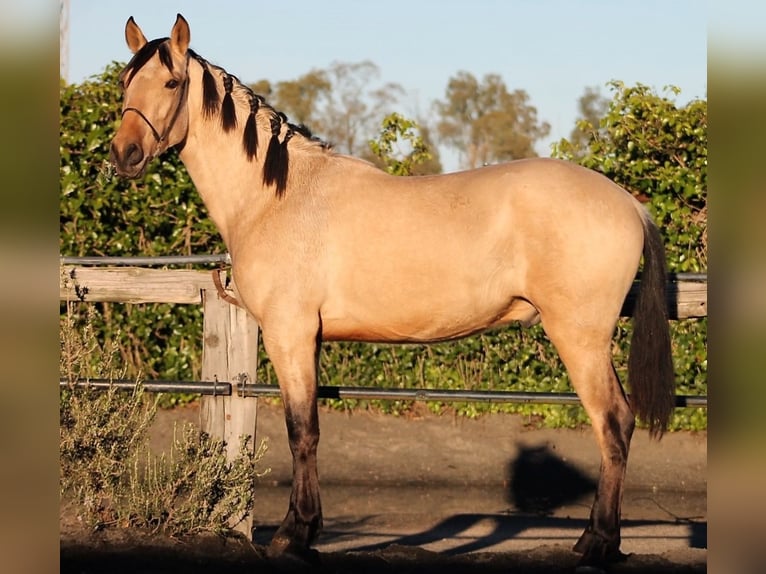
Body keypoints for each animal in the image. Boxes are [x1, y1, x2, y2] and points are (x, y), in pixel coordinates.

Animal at [109, 13, 680, 572]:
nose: (124, 154)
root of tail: (629, 203)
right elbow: (309, 429)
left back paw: (598, 544)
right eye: (125, 82)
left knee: (613, 424)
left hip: (580, 338)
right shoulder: (308, 338)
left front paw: (294, 536)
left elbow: (301, 431)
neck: (277, 196)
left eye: (172, 82)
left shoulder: (289, 333)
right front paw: (306, 531)